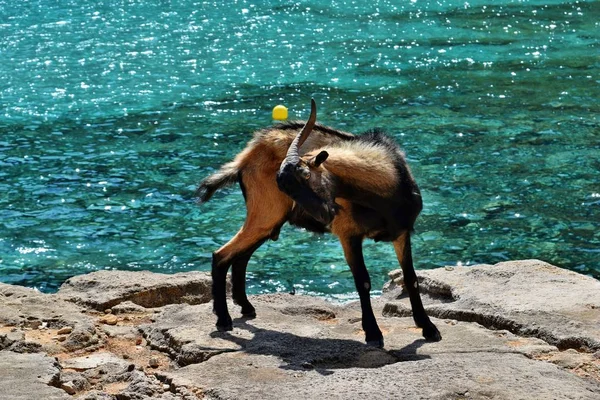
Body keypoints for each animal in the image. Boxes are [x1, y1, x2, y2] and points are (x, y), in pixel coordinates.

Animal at [197, 100, 440, 346]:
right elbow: (363, 281)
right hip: (265, 213)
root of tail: (245, 156)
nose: (325, 215)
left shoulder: (401, 232)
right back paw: (223, 319)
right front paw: (373, 333)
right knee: (221, 255)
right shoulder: (348, 234)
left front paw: (428, 328)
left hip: (270, 221)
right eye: (283, 186)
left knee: (241, 256)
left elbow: (411, 278)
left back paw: (245, 307)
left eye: (305, 174)